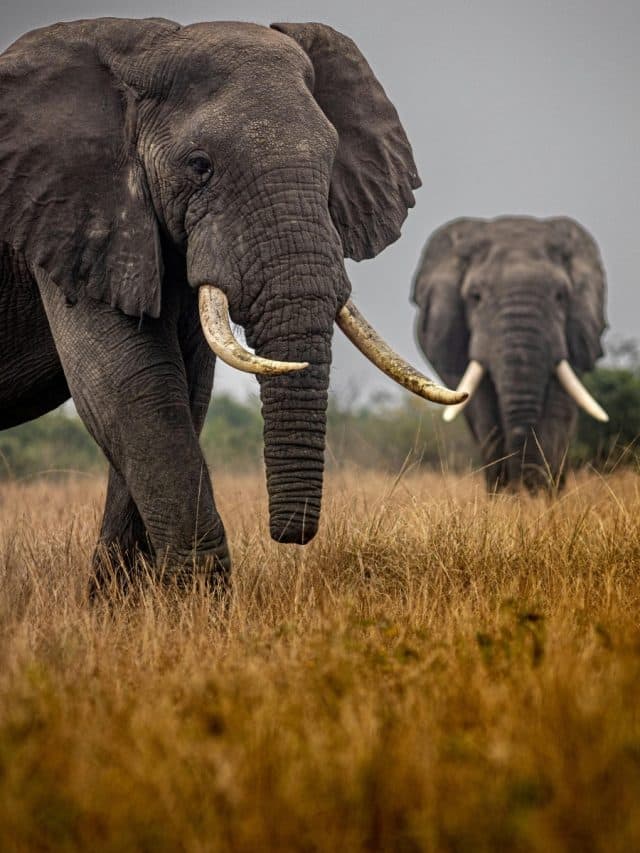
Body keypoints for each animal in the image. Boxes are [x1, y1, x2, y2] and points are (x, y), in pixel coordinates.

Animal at [0, 18, 463, 592]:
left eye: (332, 161)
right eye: (200, 166)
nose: (288, 536)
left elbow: (183, 389)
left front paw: (128, 606)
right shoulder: (69, 209)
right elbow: (128, 384)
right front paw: (195, 601)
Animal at [411, 216, 608, 491]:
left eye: (560, 296)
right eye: (475, 297)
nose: (522, 487)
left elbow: (558, 407)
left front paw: (542, 495)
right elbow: (483, 410)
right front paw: (506, 496)